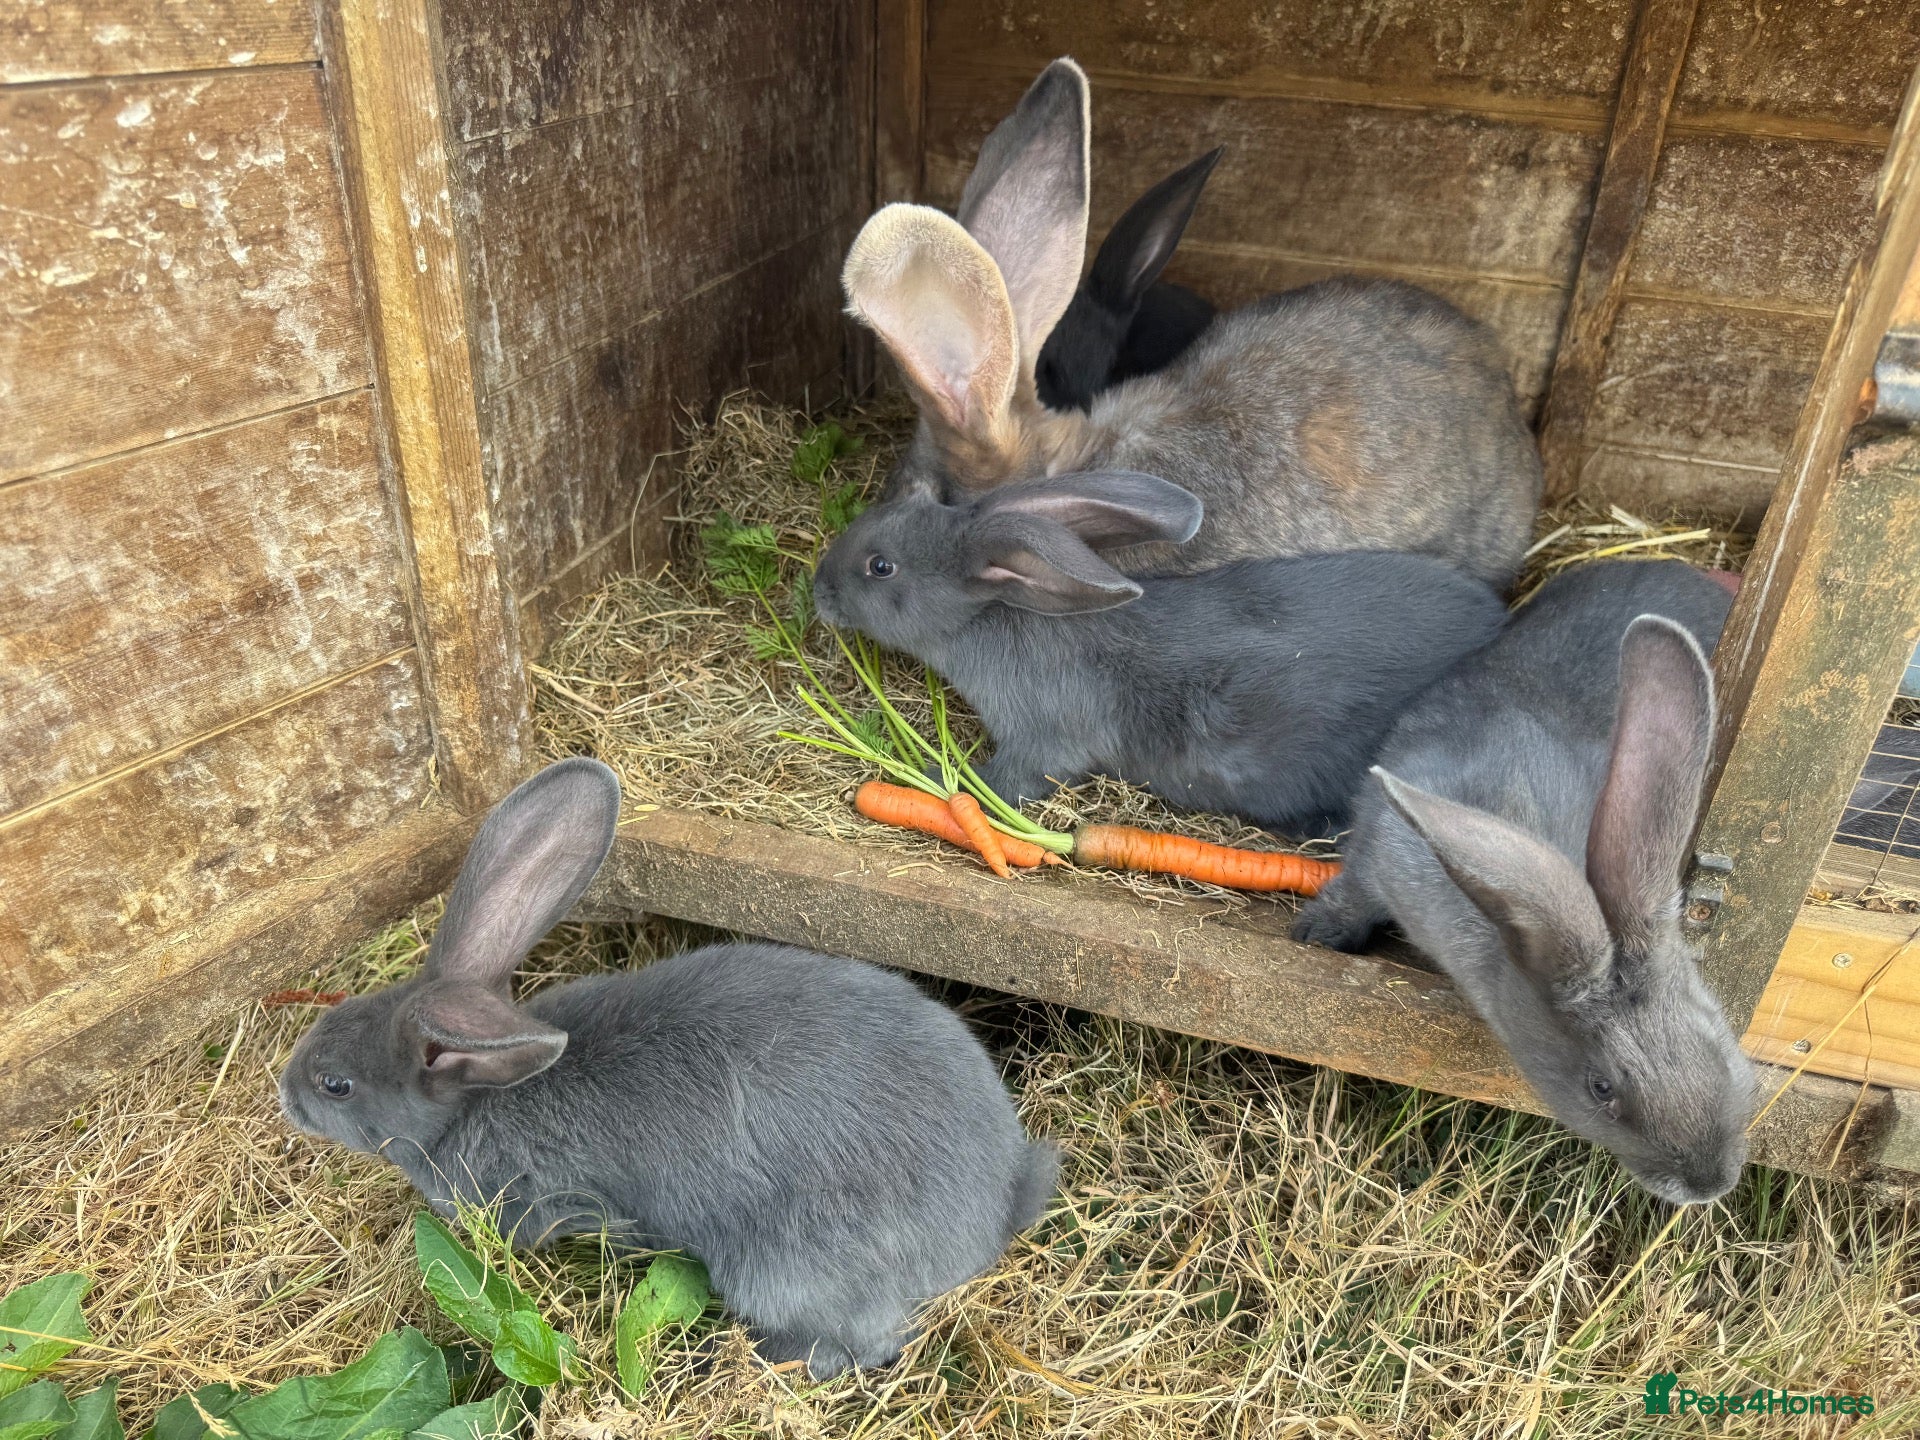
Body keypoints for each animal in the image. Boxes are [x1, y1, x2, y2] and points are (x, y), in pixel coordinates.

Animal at [278, 758, 1058, 1379]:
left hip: (785, 1269)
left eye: (336, 1085)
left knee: (858, 1344)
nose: (285, 1093)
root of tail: (997, 1204)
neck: (473, 1100)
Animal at [811, 470, 1506, 830]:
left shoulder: (1043, 742)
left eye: (880, 566)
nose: (818, 587)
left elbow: (1002, 782)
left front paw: (927, 780)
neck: (998, 613)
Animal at [1290, 560, 1755, 1203]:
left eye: (1718, 1036)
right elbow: (1352, 893)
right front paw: (1315, 933)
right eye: (1601, 1088)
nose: (1710, 1184)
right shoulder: (1377, 850)